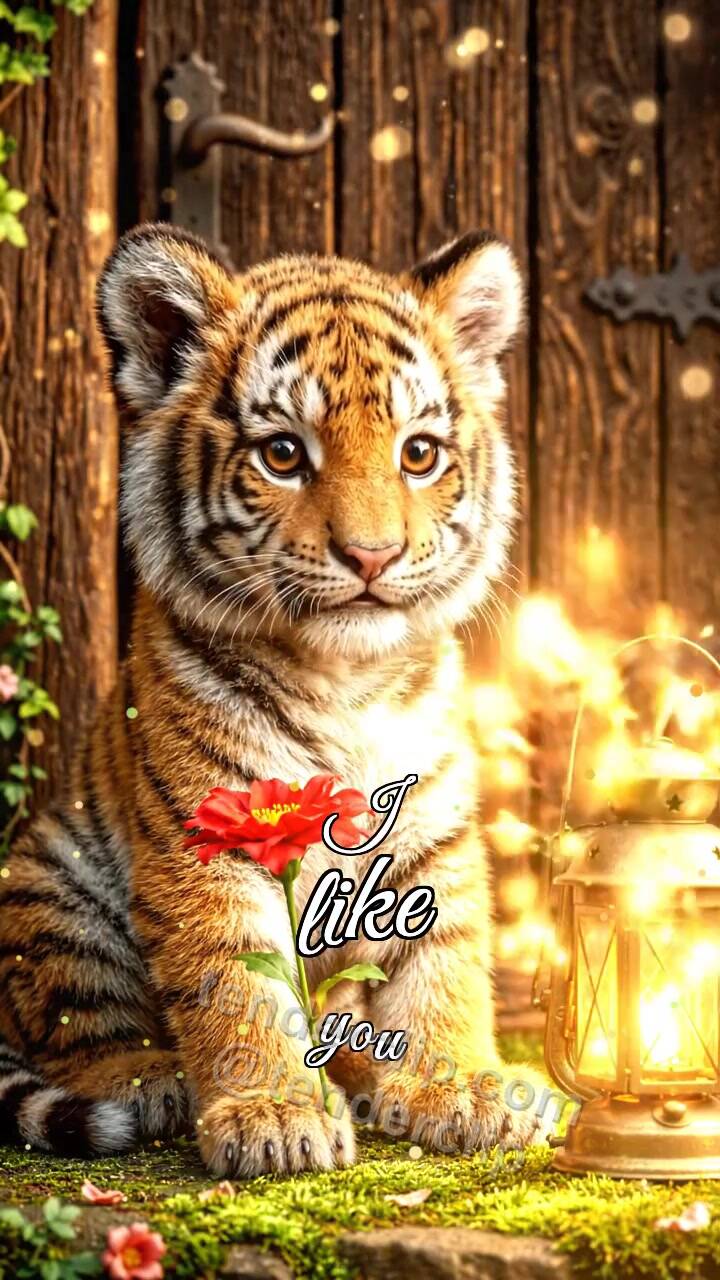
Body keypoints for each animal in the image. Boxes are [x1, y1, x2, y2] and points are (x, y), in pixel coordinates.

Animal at [0, 223, 551, 1178]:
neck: (347, 679)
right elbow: (237, 982)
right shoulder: (207, 842)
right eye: (284, 454)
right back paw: (151, 1080)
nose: (372, 555)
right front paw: (273, 1115)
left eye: (418, 453)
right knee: (78, 1029)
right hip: (48, 878)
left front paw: (458, 1085)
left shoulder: (434, 830)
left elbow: (442, 961)